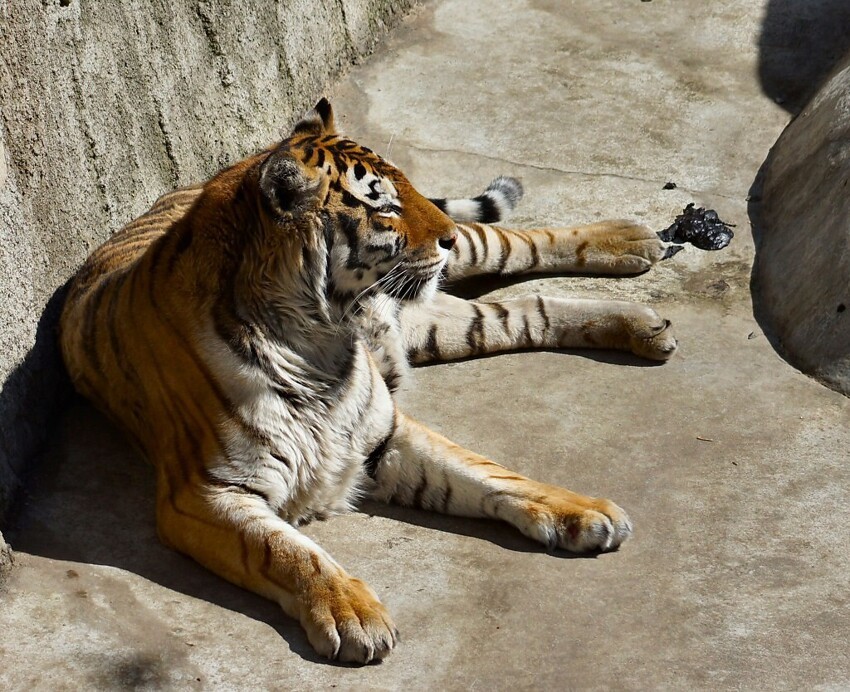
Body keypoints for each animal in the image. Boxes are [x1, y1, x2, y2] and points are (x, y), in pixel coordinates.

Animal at [58, 98, 676, 664]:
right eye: (384, 204)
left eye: (407, 186)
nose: (446, 238)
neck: (318, 338)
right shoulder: (205, 493)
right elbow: (289, 552)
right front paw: (354, 614)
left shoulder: (384, 430)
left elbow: (489, 472)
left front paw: (583, 510)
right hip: (440, 322)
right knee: (524, 310)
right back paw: (643, 322)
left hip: (468, 263)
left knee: (519, 245)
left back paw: (632, 242)